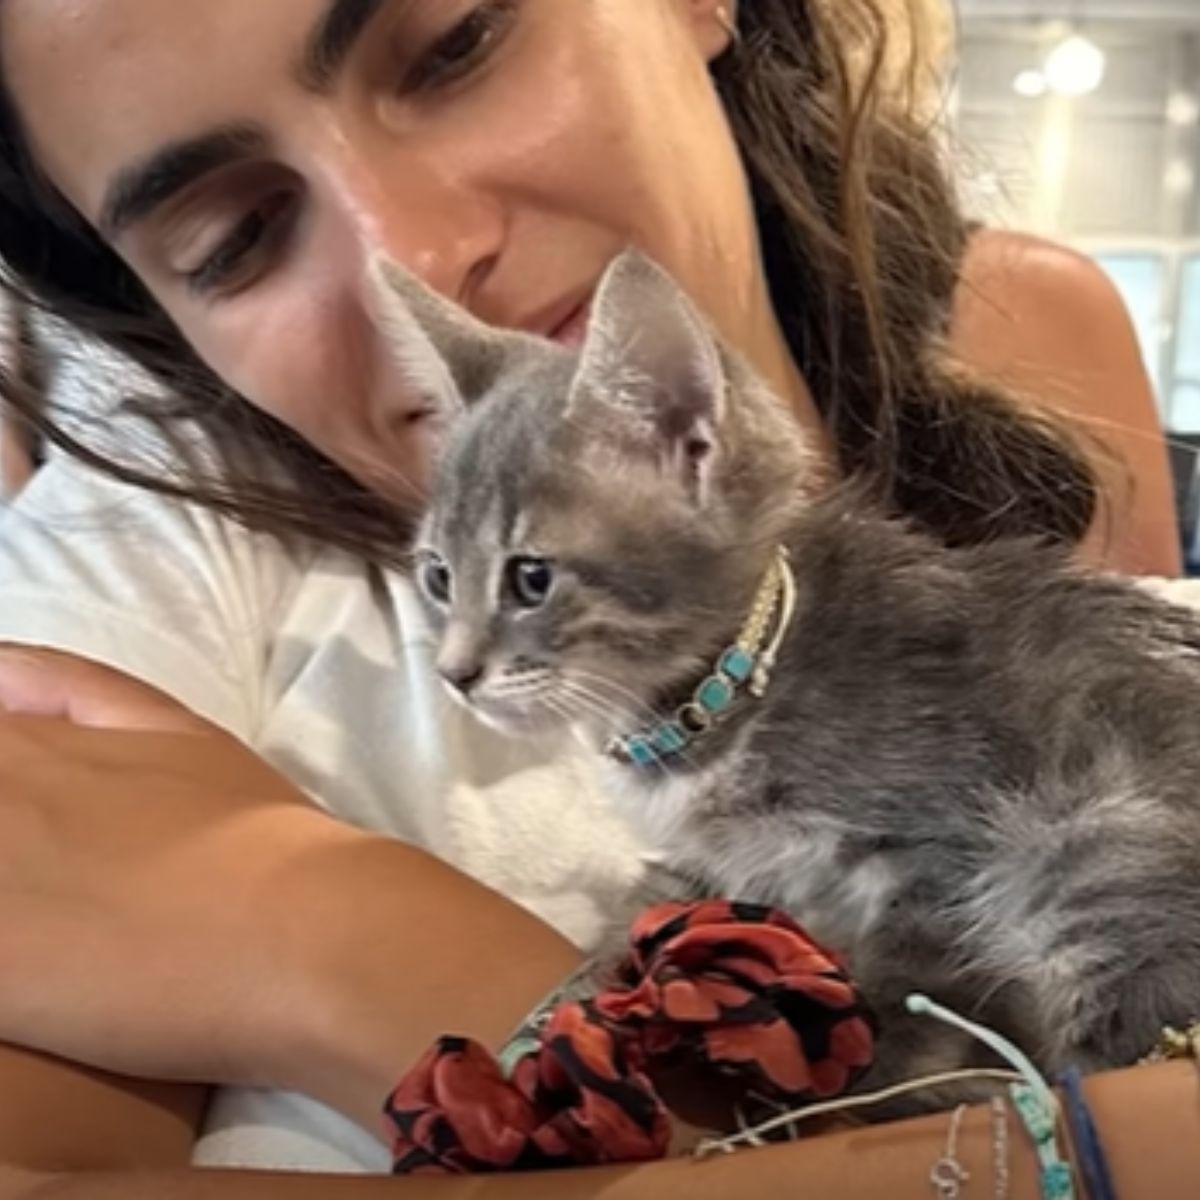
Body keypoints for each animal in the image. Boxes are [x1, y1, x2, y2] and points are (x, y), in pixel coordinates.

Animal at [372, 250, 1200, 1099]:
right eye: (438, 575)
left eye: (531, 578)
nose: (455, 673)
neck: (722, 698)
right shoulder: (705, 868)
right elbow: (640, 916)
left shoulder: (933, 853)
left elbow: (914, 1017)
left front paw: (860, 1096)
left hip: (1097, 840)